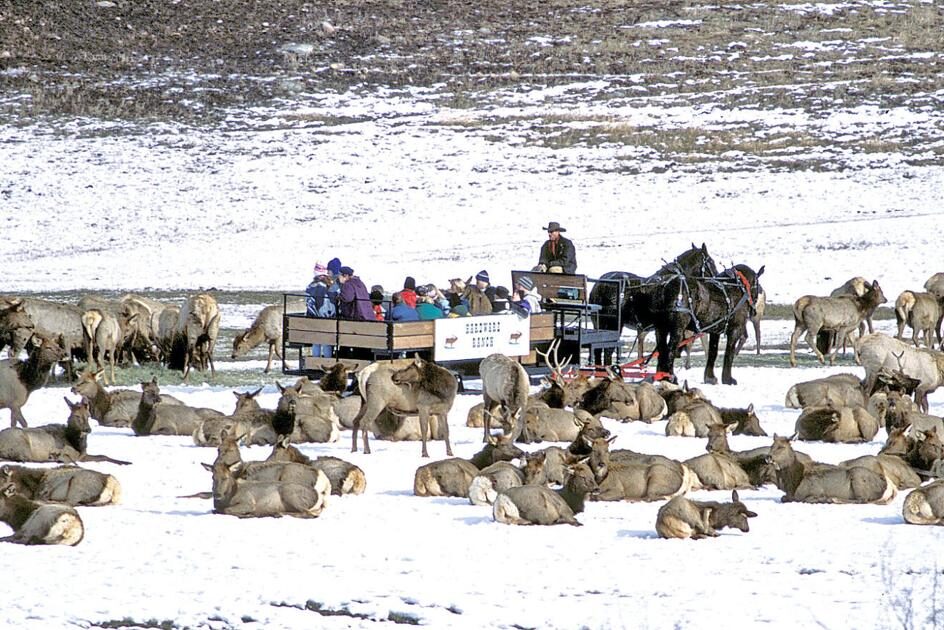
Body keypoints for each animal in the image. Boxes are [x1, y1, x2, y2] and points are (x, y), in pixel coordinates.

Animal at [764, 436, 896, 506]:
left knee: (862, 500)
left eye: (781, 447)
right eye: (771, 445)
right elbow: (783, 498)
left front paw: (822, 499)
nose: (768, 457)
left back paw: (833, 499)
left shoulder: (815, 489)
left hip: (858, 476)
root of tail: (890, 488)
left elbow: (806, 499)